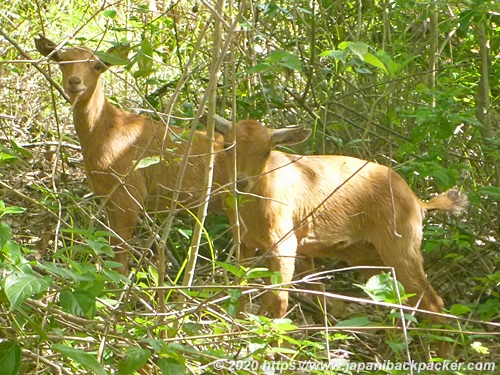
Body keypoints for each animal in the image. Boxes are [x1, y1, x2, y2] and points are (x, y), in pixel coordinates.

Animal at [35, 35, 230, 274]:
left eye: (97, 66)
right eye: (61, 61)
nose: (74, 82)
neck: (106, 131)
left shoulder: (129, 192)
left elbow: (119, 257)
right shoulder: (106, 194)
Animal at [228, 119, 468, 324]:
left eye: (266, 151)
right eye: (230, 148)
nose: (241, 181)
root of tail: (417, 200)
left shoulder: (284, 243)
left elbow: (278, 297)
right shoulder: (244, 242)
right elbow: (240, 287)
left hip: (400, 247)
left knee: (432, 302)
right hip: (369, 255)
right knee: (400, 299)